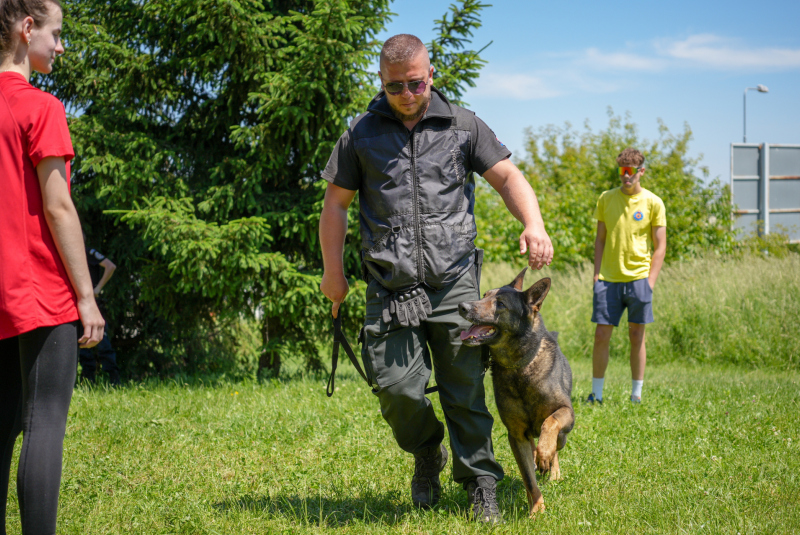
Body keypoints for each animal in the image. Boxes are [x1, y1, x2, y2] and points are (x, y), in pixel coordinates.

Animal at [456, 270, 576, 516]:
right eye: (484, 295)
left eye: (500, 304)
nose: (462, 306)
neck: (519, 367)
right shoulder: (517, 436)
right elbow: (529, 479)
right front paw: (537, 510)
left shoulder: (566, 413)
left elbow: (550, 422)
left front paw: (545, 454)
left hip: (564, 436)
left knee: (555, 445)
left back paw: (551, 466)